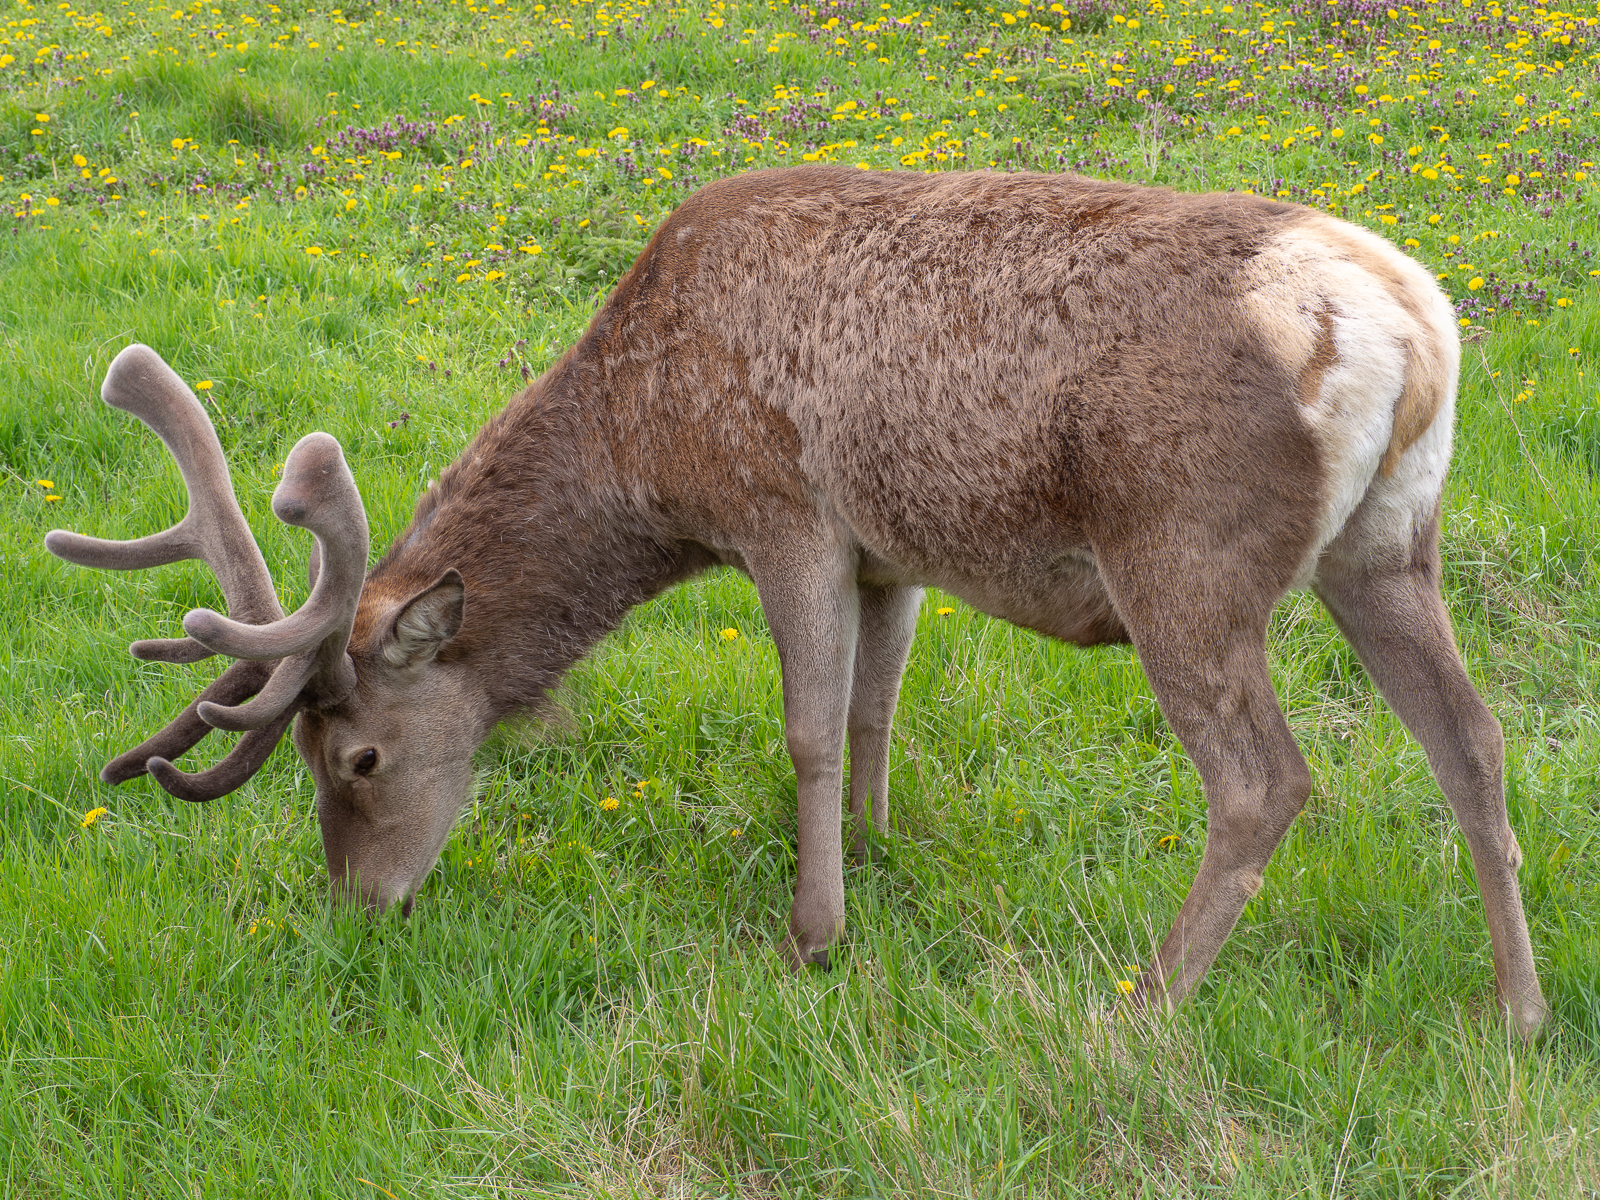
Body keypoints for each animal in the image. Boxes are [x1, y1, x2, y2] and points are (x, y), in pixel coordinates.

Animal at [46, 164, 1548, 1036]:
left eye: (356, 756)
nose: (363, 909)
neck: (645, 446)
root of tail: (1412, 329)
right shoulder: (895, 551)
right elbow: (880, 711)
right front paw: (878, 861)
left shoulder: (788, 514)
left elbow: (812, 732)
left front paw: (814, 936)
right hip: (1387, 544)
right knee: (1473, 743)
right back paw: (1519, 1013)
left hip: (1186, 555)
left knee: (1265, 780)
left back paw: (1144, 1006)